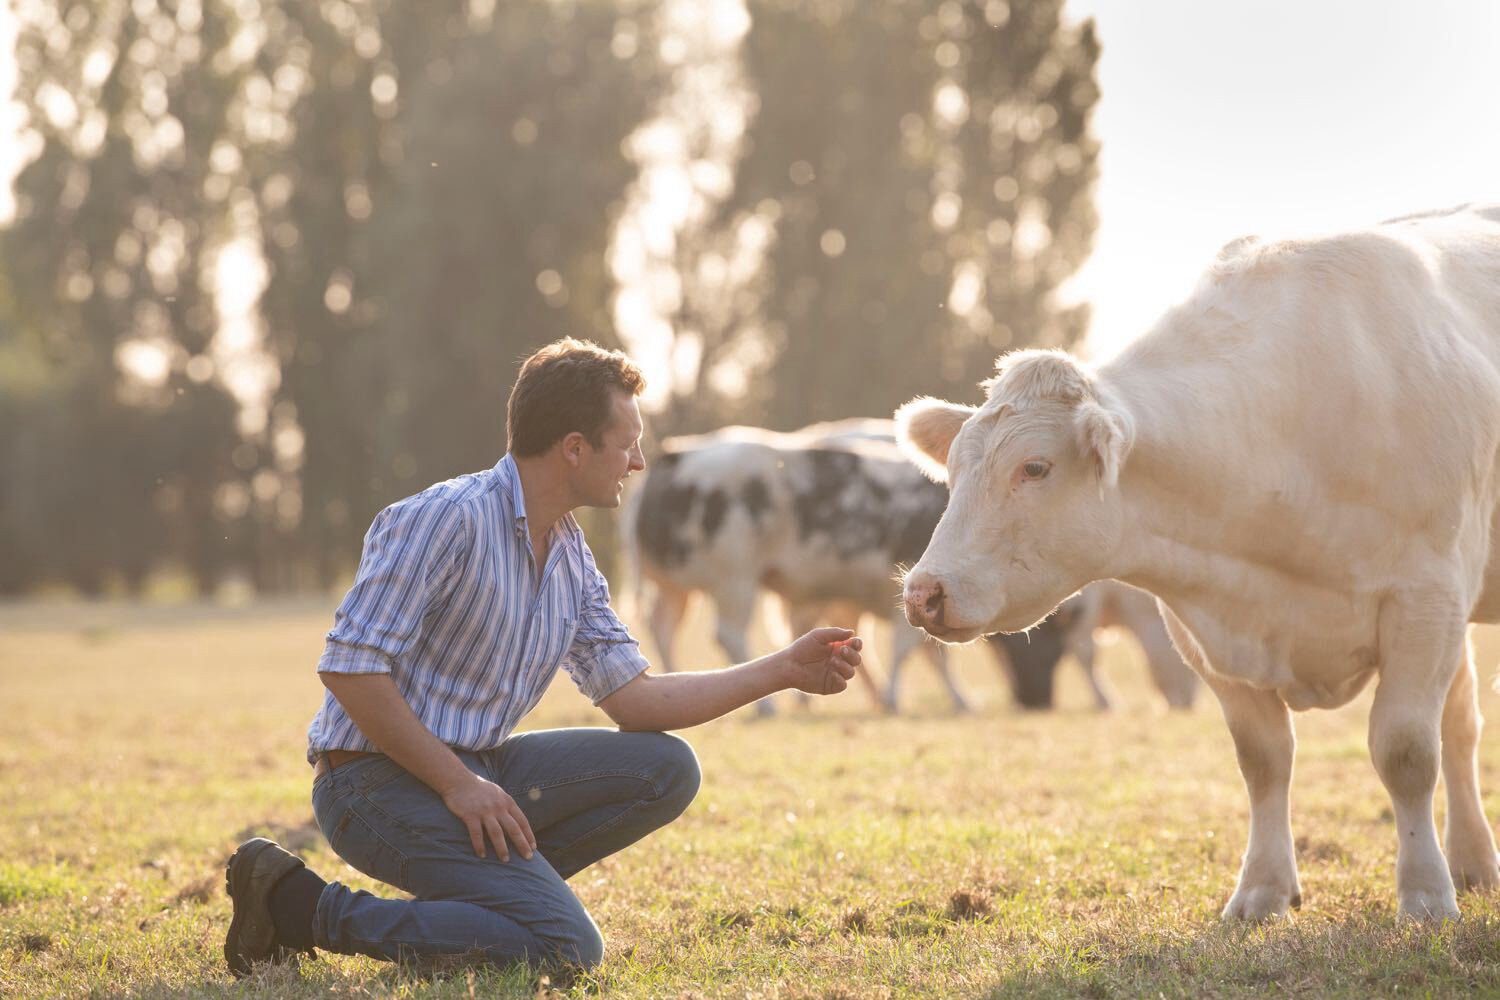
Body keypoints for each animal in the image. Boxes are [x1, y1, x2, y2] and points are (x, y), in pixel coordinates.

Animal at [894, 203, 1500, 923]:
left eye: (1034, 467)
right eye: (954, 468)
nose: (923, 592)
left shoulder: (1426, 601)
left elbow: (1406, 750)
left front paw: (1426, 894)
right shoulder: (1206, 629)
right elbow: (1263, 759)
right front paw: (1262, 889)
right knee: (1461, 724)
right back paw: (1473, 860)